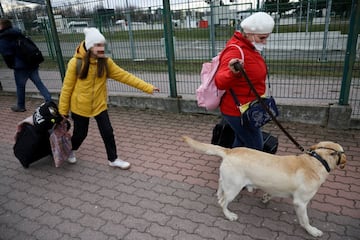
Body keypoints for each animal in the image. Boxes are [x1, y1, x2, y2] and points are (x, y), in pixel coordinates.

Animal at [183, 136, 346, 237]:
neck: (317, 160)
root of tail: (229, 150)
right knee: (223, 202)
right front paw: (312, 231)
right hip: (234, 188)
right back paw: (229, 215)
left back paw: (219, 194)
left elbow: (271, 193)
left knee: (220, 187)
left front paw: (266, 197)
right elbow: (305, 220)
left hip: (227, 180)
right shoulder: (300, 203)